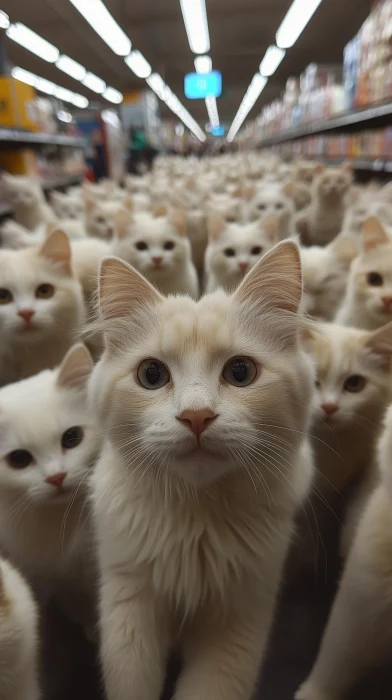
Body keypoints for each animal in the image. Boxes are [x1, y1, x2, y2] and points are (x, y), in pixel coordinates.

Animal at [89, 239, 316, 700]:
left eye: (240, 372)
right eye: (152, 374)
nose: (196, 417)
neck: (196, 521)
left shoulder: (240, 614)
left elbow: (210, 687)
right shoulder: (129, 604)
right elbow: (132, 682)